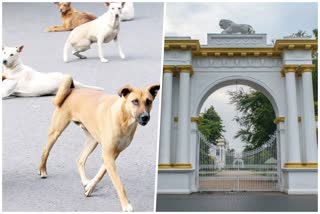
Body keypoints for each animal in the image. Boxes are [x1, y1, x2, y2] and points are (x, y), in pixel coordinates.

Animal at [38, 76, 160, 211]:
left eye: (148, 101)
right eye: (135, 101)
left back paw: (85, 180)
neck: (124, 118)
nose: (145, 117)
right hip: (56, 131)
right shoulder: (108, 154)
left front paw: (90, 187)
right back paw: (42, 170)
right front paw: (126, 204)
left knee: (80, 160)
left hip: (92, 141)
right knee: (45, 151)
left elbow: (101, 173)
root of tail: (73, 90)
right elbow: (118, 183)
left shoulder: (113, 154)